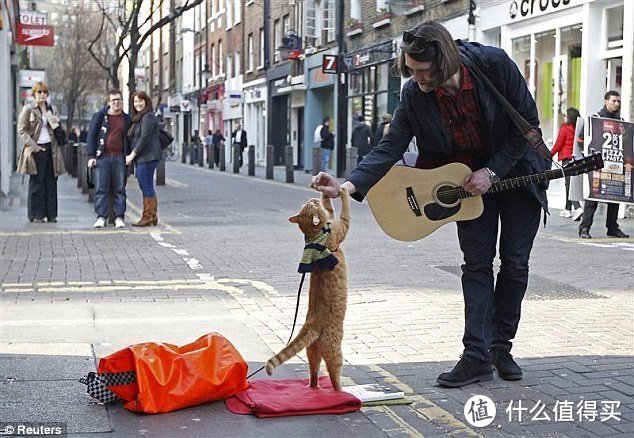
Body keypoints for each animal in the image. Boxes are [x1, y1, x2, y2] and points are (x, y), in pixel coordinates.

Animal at [262, 186, 348, 392]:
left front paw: (326, 189)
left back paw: (313, 387)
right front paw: (343, 190)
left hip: (312, 352)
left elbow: (330, 208)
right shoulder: (341, 227)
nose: (312, 198)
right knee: (334, 375)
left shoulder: (332, 219)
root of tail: (312, 324)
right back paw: (341, 391)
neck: (316, 237)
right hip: (335, 351)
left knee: (314, 372)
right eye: (312, 205)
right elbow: (345, 210)